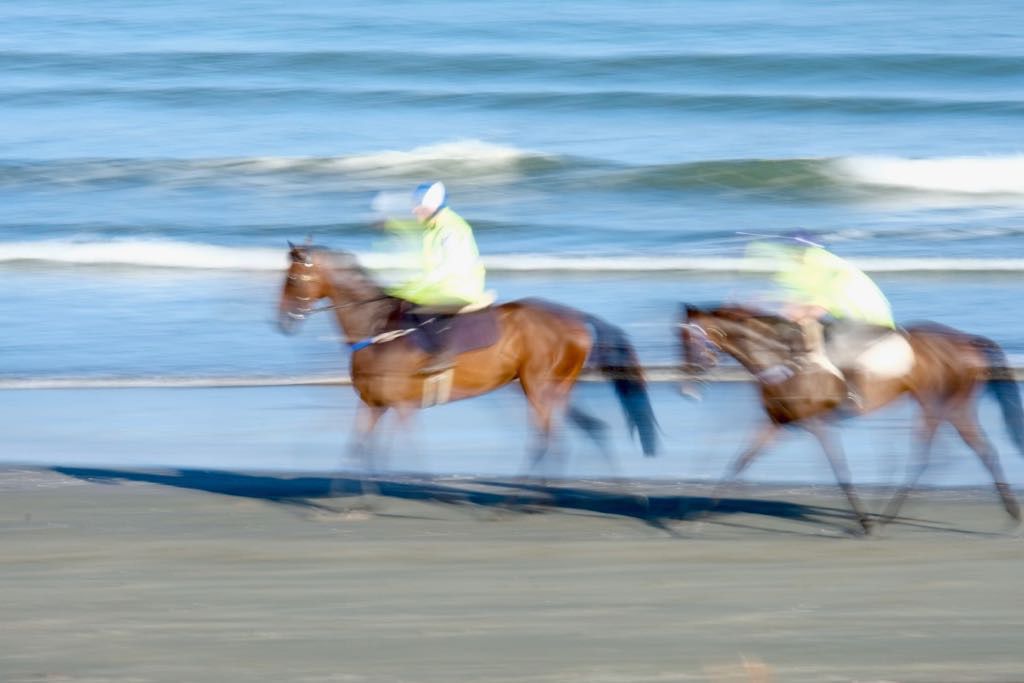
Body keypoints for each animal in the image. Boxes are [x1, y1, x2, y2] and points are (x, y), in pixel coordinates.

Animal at [274, 244, 655, 475]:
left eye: (292, 278)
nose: (282, 320)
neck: (377, 328)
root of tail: (577, 317)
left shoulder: (400, 405)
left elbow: (395, 450)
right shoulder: (376, 404)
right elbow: (359, 448)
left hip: (538, 386)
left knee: (548, 438)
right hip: (549, 386)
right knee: (586, 429)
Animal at [679, 305, 1024, 532]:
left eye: (691, 340)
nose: (686, 384)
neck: (782, 359)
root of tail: (967, 340)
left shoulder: (816, 423)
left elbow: (839, 468)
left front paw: (864, 521)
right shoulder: (777, 423)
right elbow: (739, 462)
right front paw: (701, 515)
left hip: (943, 404)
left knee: (943, 452)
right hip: (948, 407)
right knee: (963, 452)